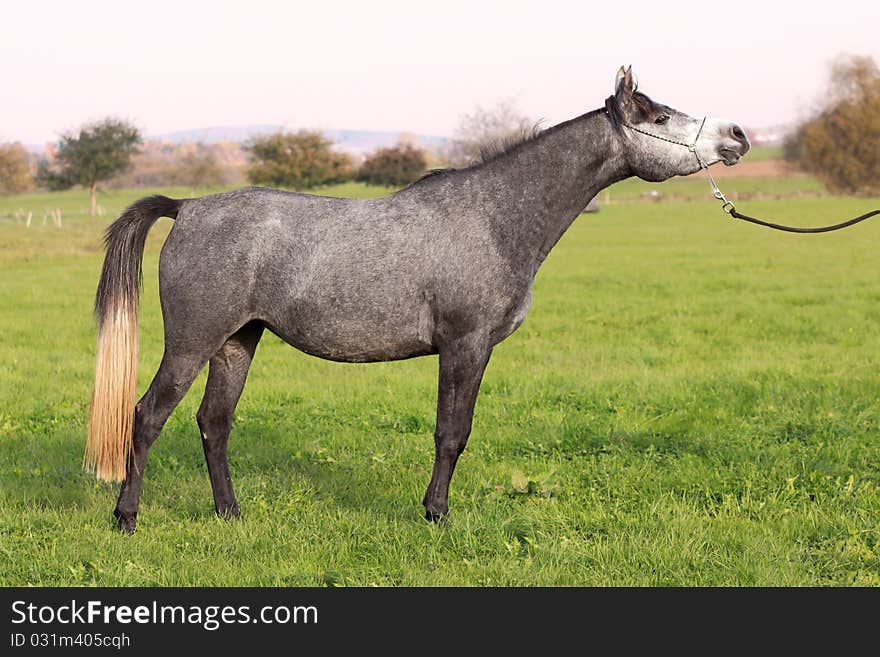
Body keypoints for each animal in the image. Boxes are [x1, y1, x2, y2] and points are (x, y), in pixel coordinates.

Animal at [86, 64, 748, 532]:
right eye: (658, 115)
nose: (737, 134)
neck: (492, 217)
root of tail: (188, 207)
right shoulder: (465, 345)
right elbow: (451, 432)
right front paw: (436, 514)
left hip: (236, 342)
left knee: (213, 423)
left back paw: (231, 515)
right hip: (192, 342)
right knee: (146, 416)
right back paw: (127, 518)